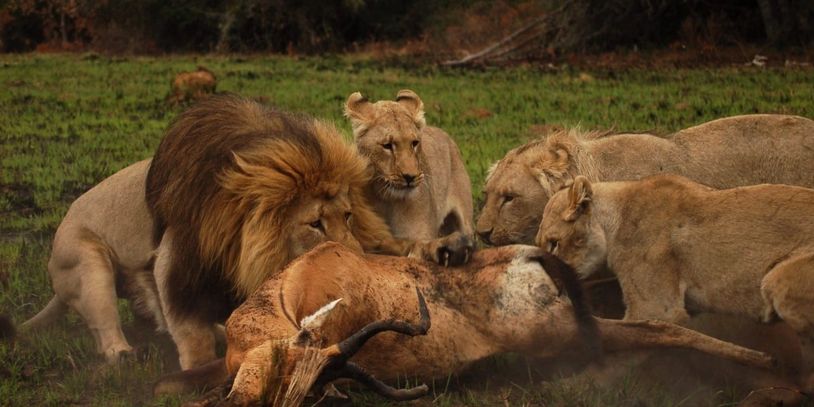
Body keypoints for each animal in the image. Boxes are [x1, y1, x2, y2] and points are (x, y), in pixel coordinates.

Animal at [537, 174, 814, 391]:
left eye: (554, 243)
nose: (549, 282)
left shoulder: (657, 308)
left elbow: (627, 346)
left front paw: (568, 389)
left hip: (777, 279)